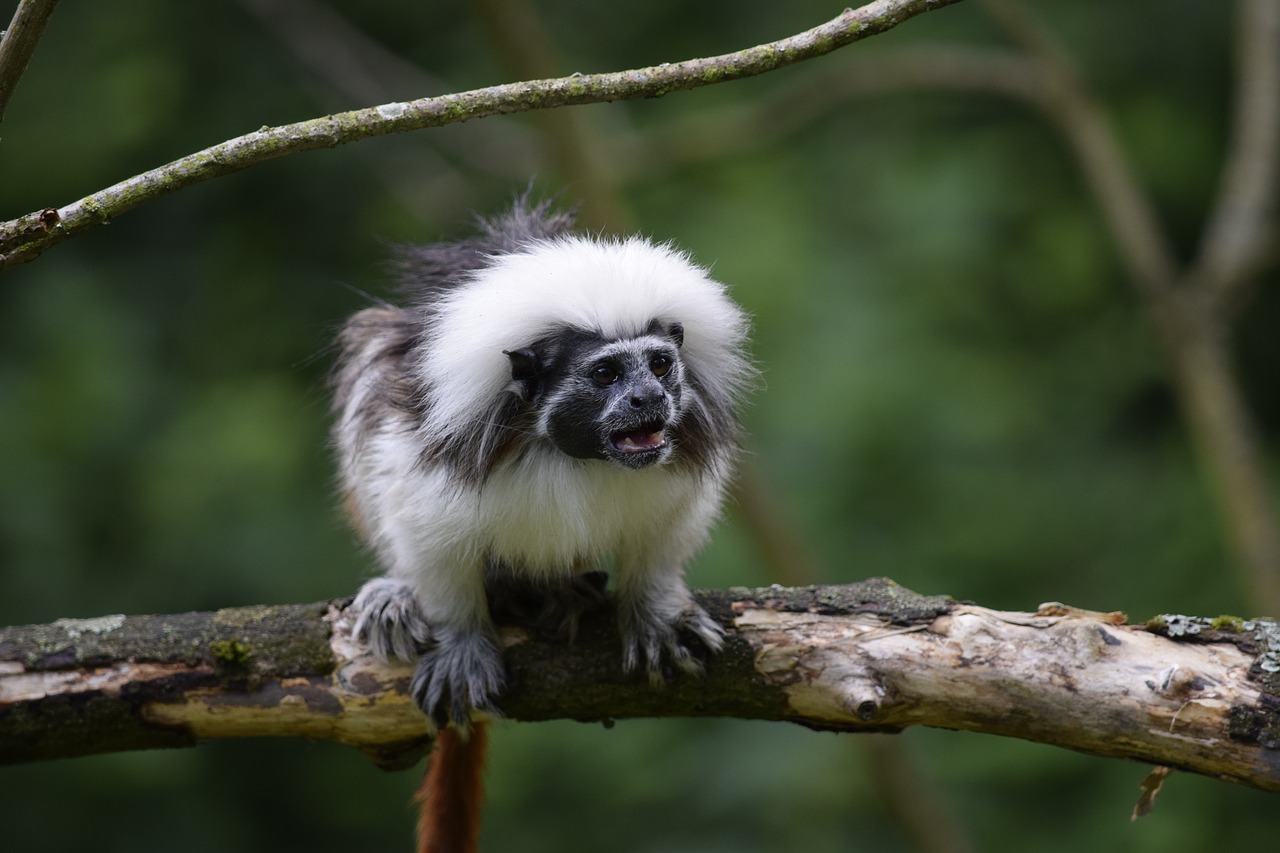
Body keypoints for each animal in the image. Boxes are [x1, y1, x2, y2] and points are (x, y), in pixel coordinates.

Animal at [332, 195, 747, 845]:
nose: (648, 399)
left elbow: (665, 534)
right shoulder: (442, 449)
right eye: (605, 375)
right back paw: (400, 595)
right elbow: (425, 532)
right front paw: (461, 638)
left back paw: (560, 591)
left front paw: (654, 610)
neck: (574, 452)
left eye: (659, 365)